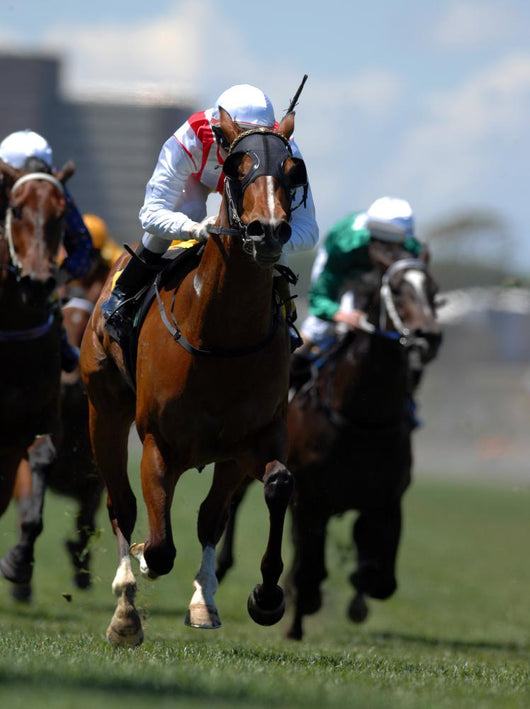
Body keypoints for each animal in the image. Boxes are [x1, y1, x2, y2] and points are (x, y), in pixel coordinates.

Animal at [1, 249, 111, 601]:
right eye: (62, 310)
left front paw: (81, 568)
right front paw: (20, 574)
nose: (69, 384)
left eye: (87, 324)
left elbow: (84, 522)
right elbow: (27, 507)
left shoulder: (95, 477)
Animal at [80, 107, 308, 646]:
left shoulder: (258, 435)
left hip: (223, 455)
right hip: (105, 413)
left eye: (293, 172)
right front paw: (140, 571)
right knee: (121, 505)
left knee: (210, 517)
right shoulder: (158, 442)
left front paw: (265, 596)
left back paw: (204, 601)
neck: (221, 334)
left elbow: (275, 486)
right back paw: (125, 607)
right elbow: (160, 546)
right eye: (236, 168)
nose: (268, 231)